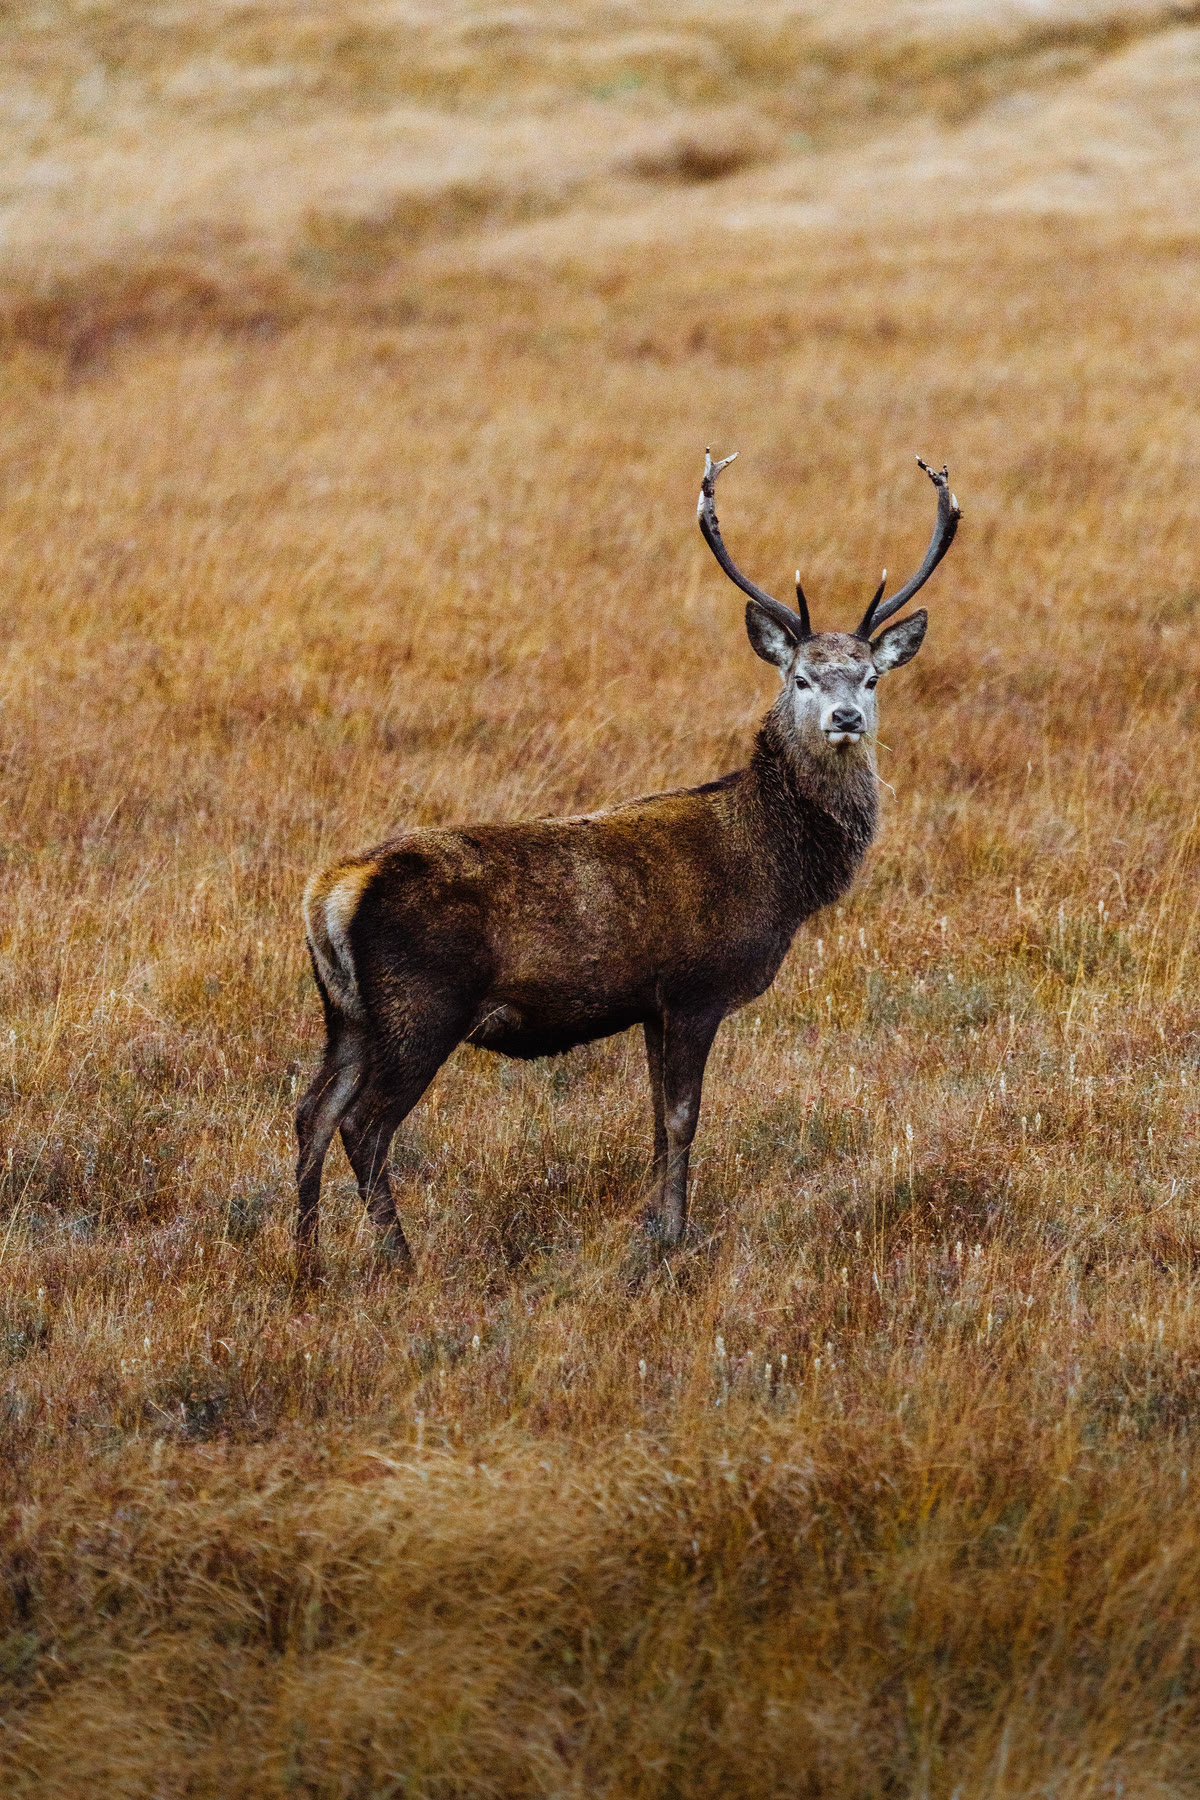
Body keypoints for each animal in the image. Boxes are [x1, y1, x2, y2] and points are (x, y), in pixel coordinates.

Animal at [295, 451, 961, 1271]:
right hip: (421, 1003)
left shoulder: (648, 1003)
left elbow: (652, 1116)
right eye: (801, 677)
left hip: (348, 1013)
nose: (845, 719)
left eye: (871, 678)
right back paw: (399, 1260)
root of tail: (333, 893)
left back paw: (307, 1259)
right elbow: (681, 1117)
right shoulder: (696, 987)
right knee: (365, 1124)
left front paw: (651, 1224)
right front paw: (672, 1237)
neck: (780, 872)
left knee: (311, 1111)